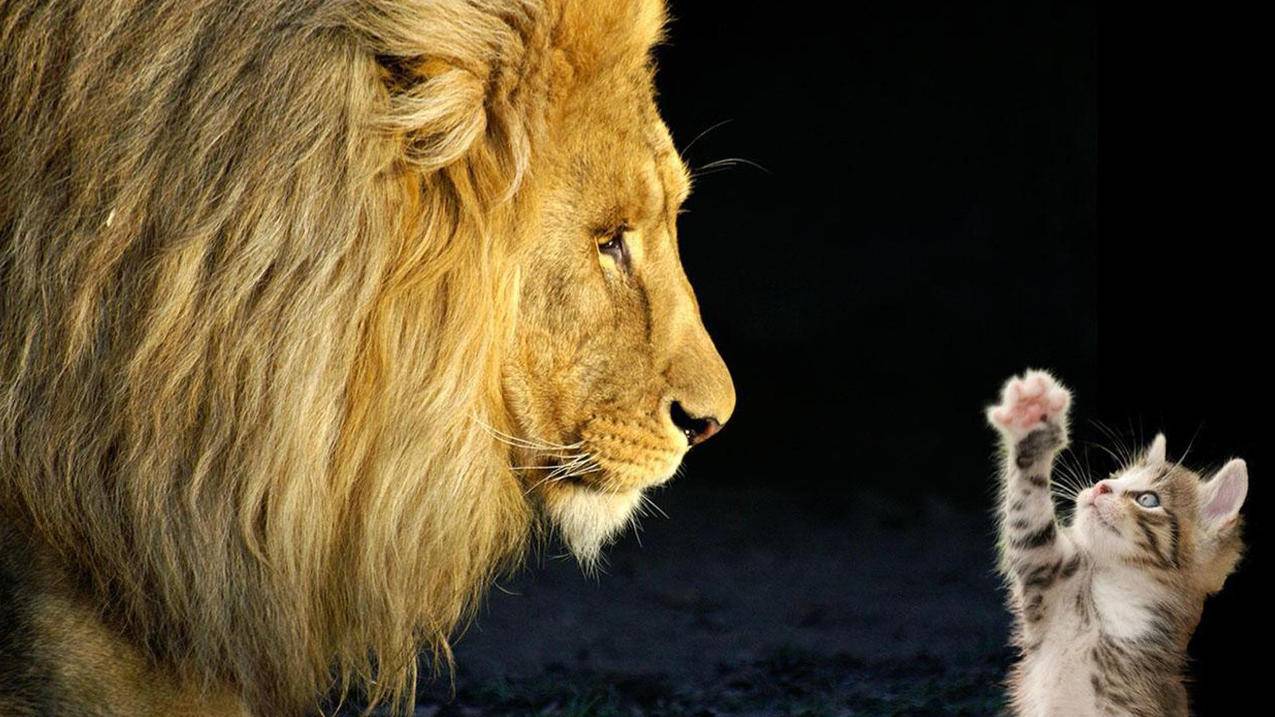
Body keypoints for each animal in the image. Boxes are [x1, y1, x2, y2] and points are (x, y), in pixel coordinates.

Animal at [984, 369, 1244, 709]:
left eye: (1147, 499)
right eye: (1114, 475)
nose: (1100, 486)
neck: (1106, 609)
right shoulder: (1046, 572)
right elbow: (1028, 515)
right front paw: (1032, 420)